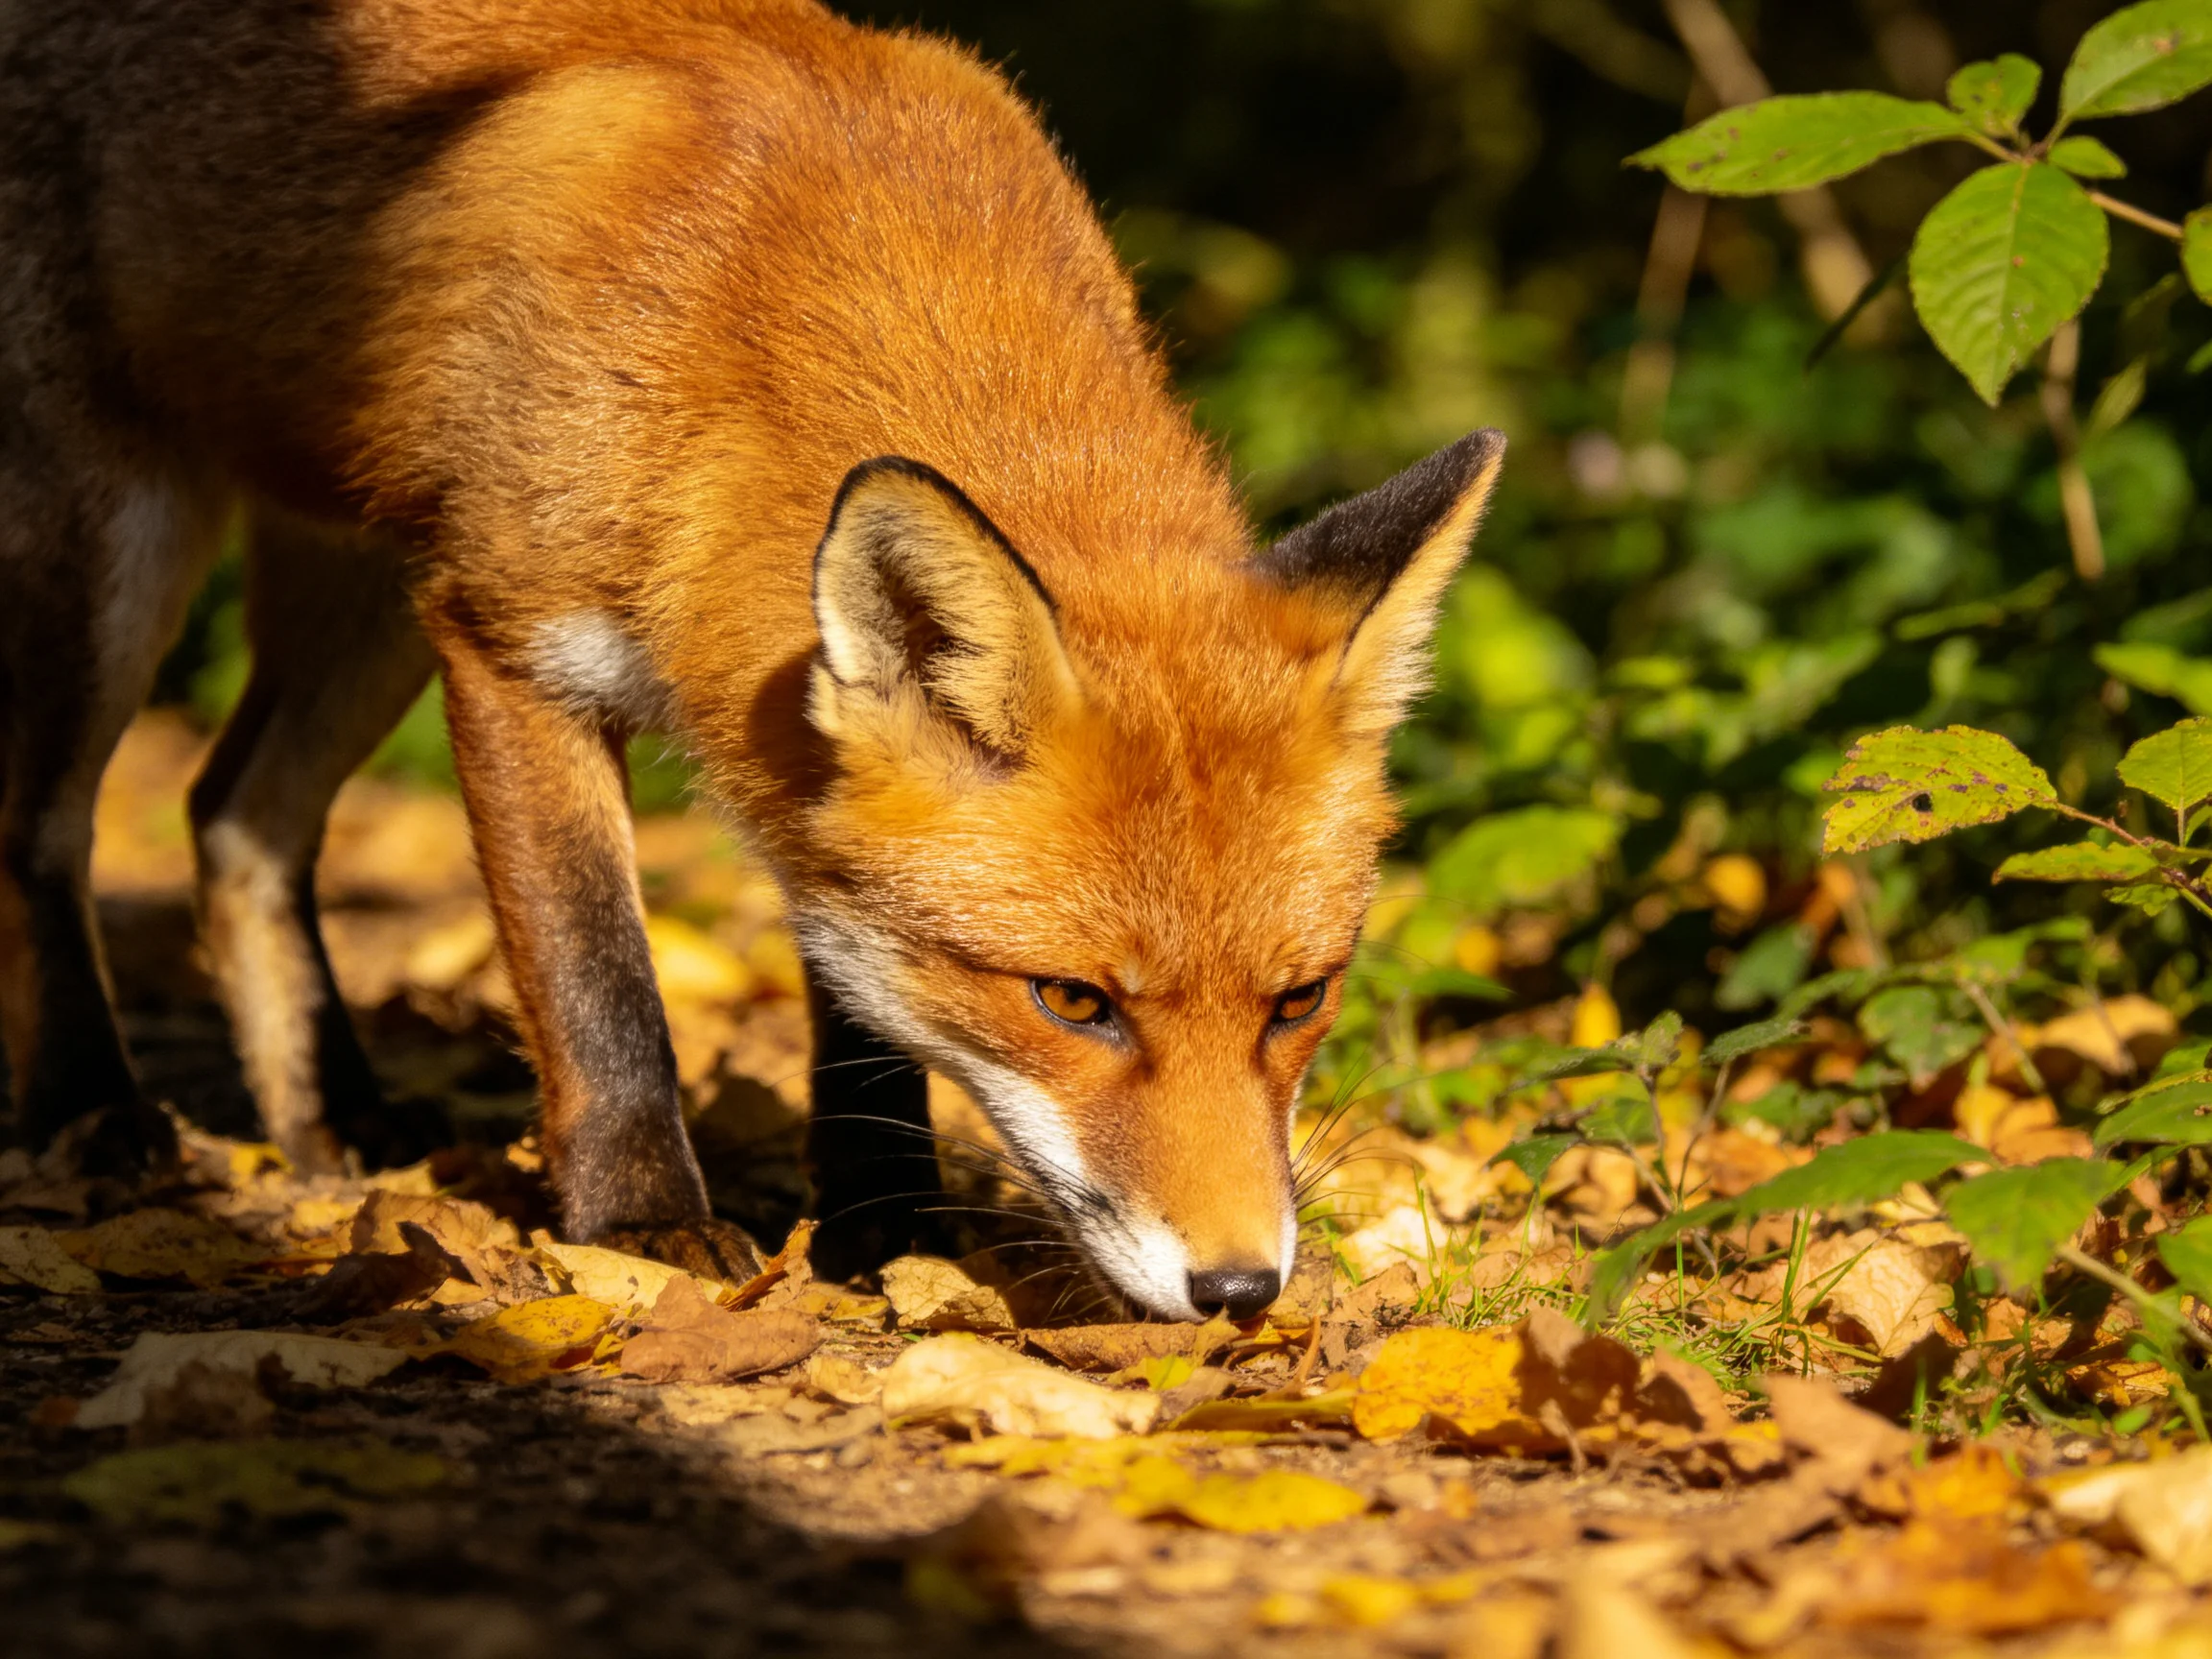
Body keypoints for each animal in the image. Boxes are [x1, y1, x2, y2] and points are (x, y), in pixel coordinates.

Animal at [0, 0, 1503, 1320]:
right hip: (128, 548)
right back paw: (93, 1115)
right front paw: (641, 1226)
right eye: (1073, 1003)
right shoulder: (509, 647)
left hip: (370, 586)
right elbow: (602, 988)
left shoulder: (791, 743)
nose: (1241, 1290)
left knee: (234, 814)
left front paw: (884, 1228)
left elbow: (861, 1015)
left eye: (1299, 1001)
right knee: (49, 829)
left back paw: (332, 1121)